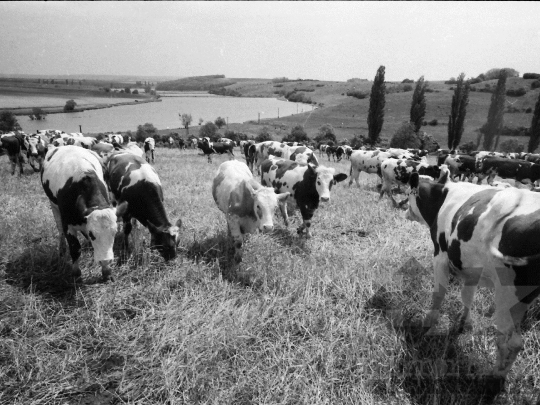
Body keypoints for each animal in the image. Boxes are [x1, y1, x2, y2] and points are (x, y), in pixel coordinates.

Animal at [41, 145, 127, 280]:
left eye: (114, 233)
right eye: (92, 234)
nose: (105, 260)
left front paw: (106, 270)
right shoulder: (68, 225)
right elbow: (75, 248)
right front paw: (76, 272)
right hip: (53, 205)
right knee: (60, 230)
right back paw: (62, 250)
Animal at [404, 169, 540, 378]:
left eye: (408, 195)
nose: (404, 210)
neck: (444, 195)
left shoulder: (440, 255)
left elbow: (438, 293)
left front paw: (427, 325)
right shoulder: (471, 268)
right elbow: (467, 296)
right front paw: (464, 324)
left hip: (508, 294)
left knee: (511, 342)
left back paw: (495, 376)